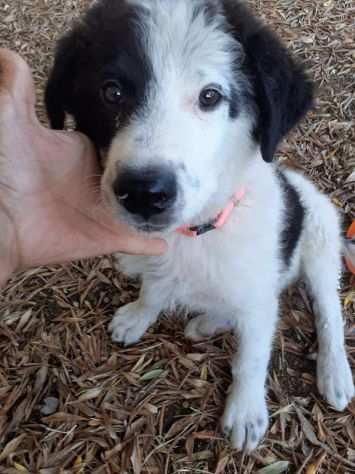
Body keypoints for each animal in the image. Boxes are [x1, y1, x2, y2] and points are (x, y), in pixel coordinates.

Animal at [46, 0, 354, 450]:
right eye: (111, 92)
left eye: (210, 96)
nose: (144, 193)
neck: (195, 235)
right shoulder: (158, 265)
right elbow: (153, 289)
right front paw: (138, 315)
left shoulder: (258, 297)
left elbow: (252, 356)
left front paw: (245, 411)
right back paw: (208, 320)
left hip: (318, 236)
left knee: (328, 308)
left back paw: (334, 373)